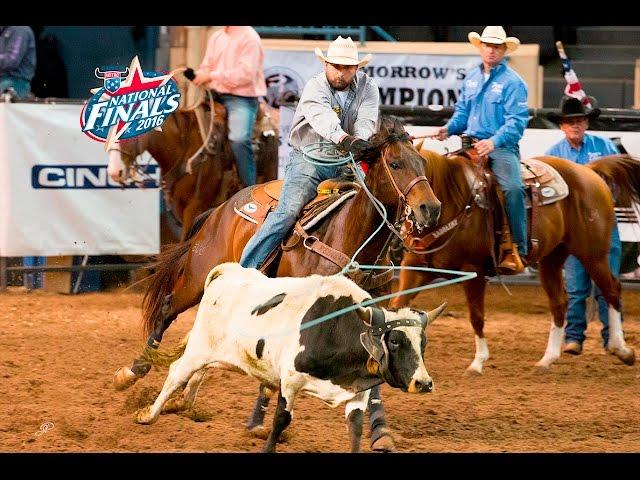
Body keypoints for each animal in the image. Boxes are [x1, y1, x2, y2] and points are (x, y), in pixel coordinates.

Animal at [115, 115, 442, 450]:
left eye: (423, 164)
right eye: (395, 163)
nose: (430, 209)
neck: (350, 237)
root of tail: (221, 208)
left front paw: (381, 433)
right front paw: (259, 421)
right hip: (197, 277)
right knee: (168, 309)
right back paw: (133, 371)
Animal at [388, 145, 640, 372]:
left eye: (419, 165)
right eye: (393, 166)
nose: (427, 209)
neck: (454, 199)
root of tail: (588, 170)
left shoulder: (474, 272)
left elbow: (476, 317)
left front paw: (478, 362)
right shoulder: (414, 269)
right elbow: (396, 307)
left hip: (593, 254)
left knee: (612, 290)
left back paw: (621, 349)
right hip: (552, 258)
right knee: (559, 302)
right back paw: (547, 359)